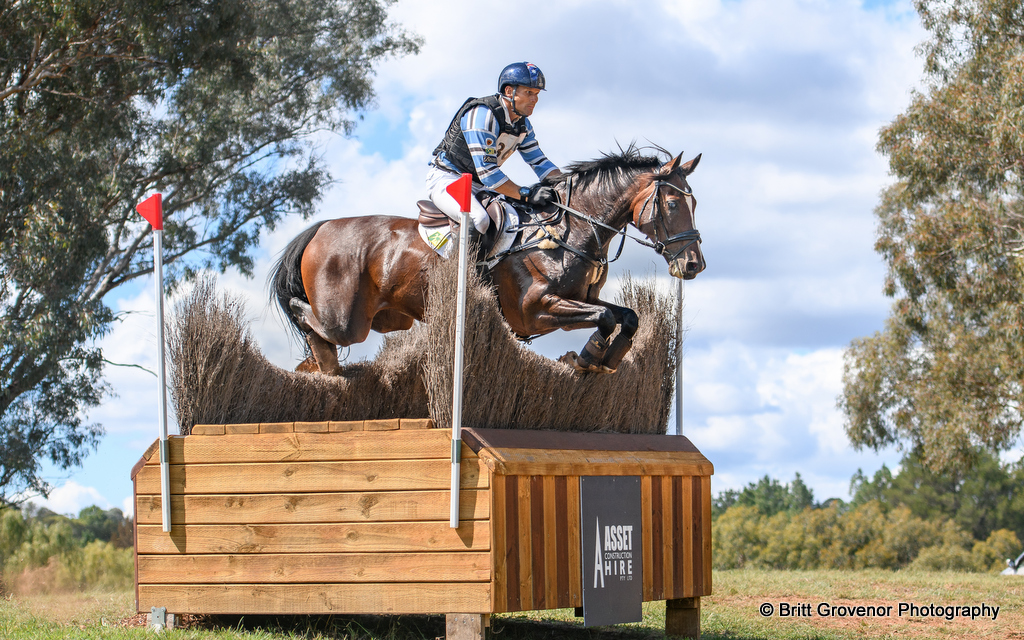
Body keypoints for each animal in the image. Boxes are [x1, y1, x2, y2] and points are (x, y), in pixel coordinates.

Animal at [271, 146, 705, 375]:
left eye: (695, 203)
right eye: (671, 204)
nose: (694, 265)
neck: (569, 231)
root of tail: (322, 228)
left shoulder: (582, 299)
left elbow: (625, 315)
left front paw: (606, 359)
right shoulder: (535, 312)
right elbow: (607, 318)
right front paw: (587, 358)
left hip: (387, 318)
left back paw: (322, 365)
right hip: (347, 320)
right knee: (310, 318)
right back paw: (322, 360)